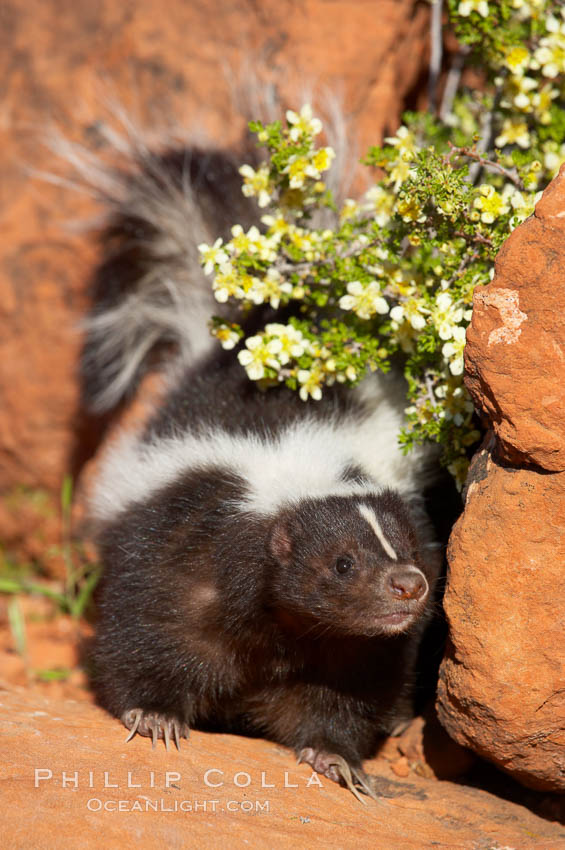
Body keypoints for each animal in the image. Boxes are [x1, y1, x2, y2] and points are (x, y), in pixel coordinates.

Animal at [78, 124, 440, 796]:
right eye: (342, 563)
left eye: (405, 548)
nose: (408, 585)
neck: (286, 624)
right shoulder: (176, 556)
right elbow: (143, 635)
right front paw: (155, 716)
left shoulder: (356, 645)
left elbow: (348, 693)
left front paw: (334, 756)